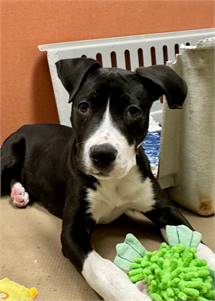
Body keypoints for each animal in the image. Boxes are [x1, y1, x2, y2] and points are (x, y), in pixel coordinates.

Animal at [0, 58, 214, 300]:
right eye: (84, 107)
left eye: (133, 111)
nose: (102, 154)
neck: (115, 182)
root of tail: (24, 126)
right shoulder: (73, 231)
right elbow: (103, 271)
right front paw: (134, 294)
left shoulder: (164, 209)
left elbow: (197, 240)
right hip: (10, 155)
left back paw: (19, 194)